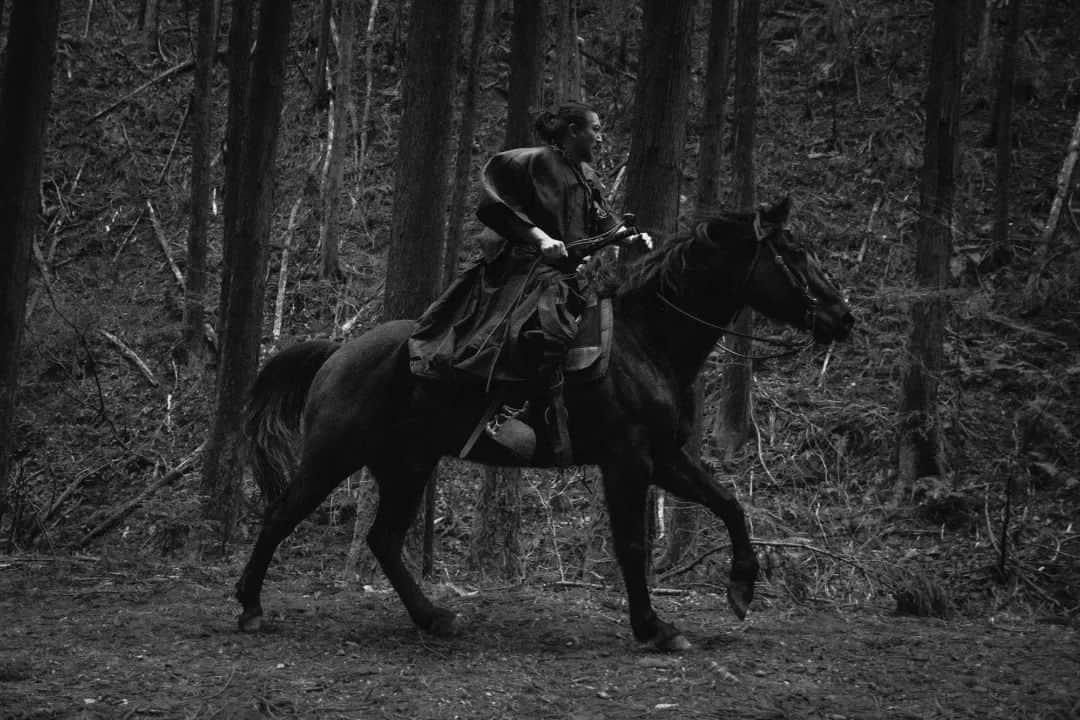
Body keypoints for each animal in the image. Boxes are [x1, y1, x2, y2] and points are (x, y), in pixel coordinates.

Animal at [236, 197, 851, 651]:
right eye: (795, 251)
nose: (843, 318)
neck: (647, 341)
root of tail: (337, 352)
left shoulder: (665, 459)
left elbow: (728, 504)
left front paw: (741, 588)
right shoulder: (628, 462)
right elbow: (632, 542)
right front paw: (654, 628)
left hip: (406, 465)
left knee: (383, 539)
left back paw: (435, 618)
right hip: (334, 457)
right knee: (282, 515)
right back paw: (249, 605)